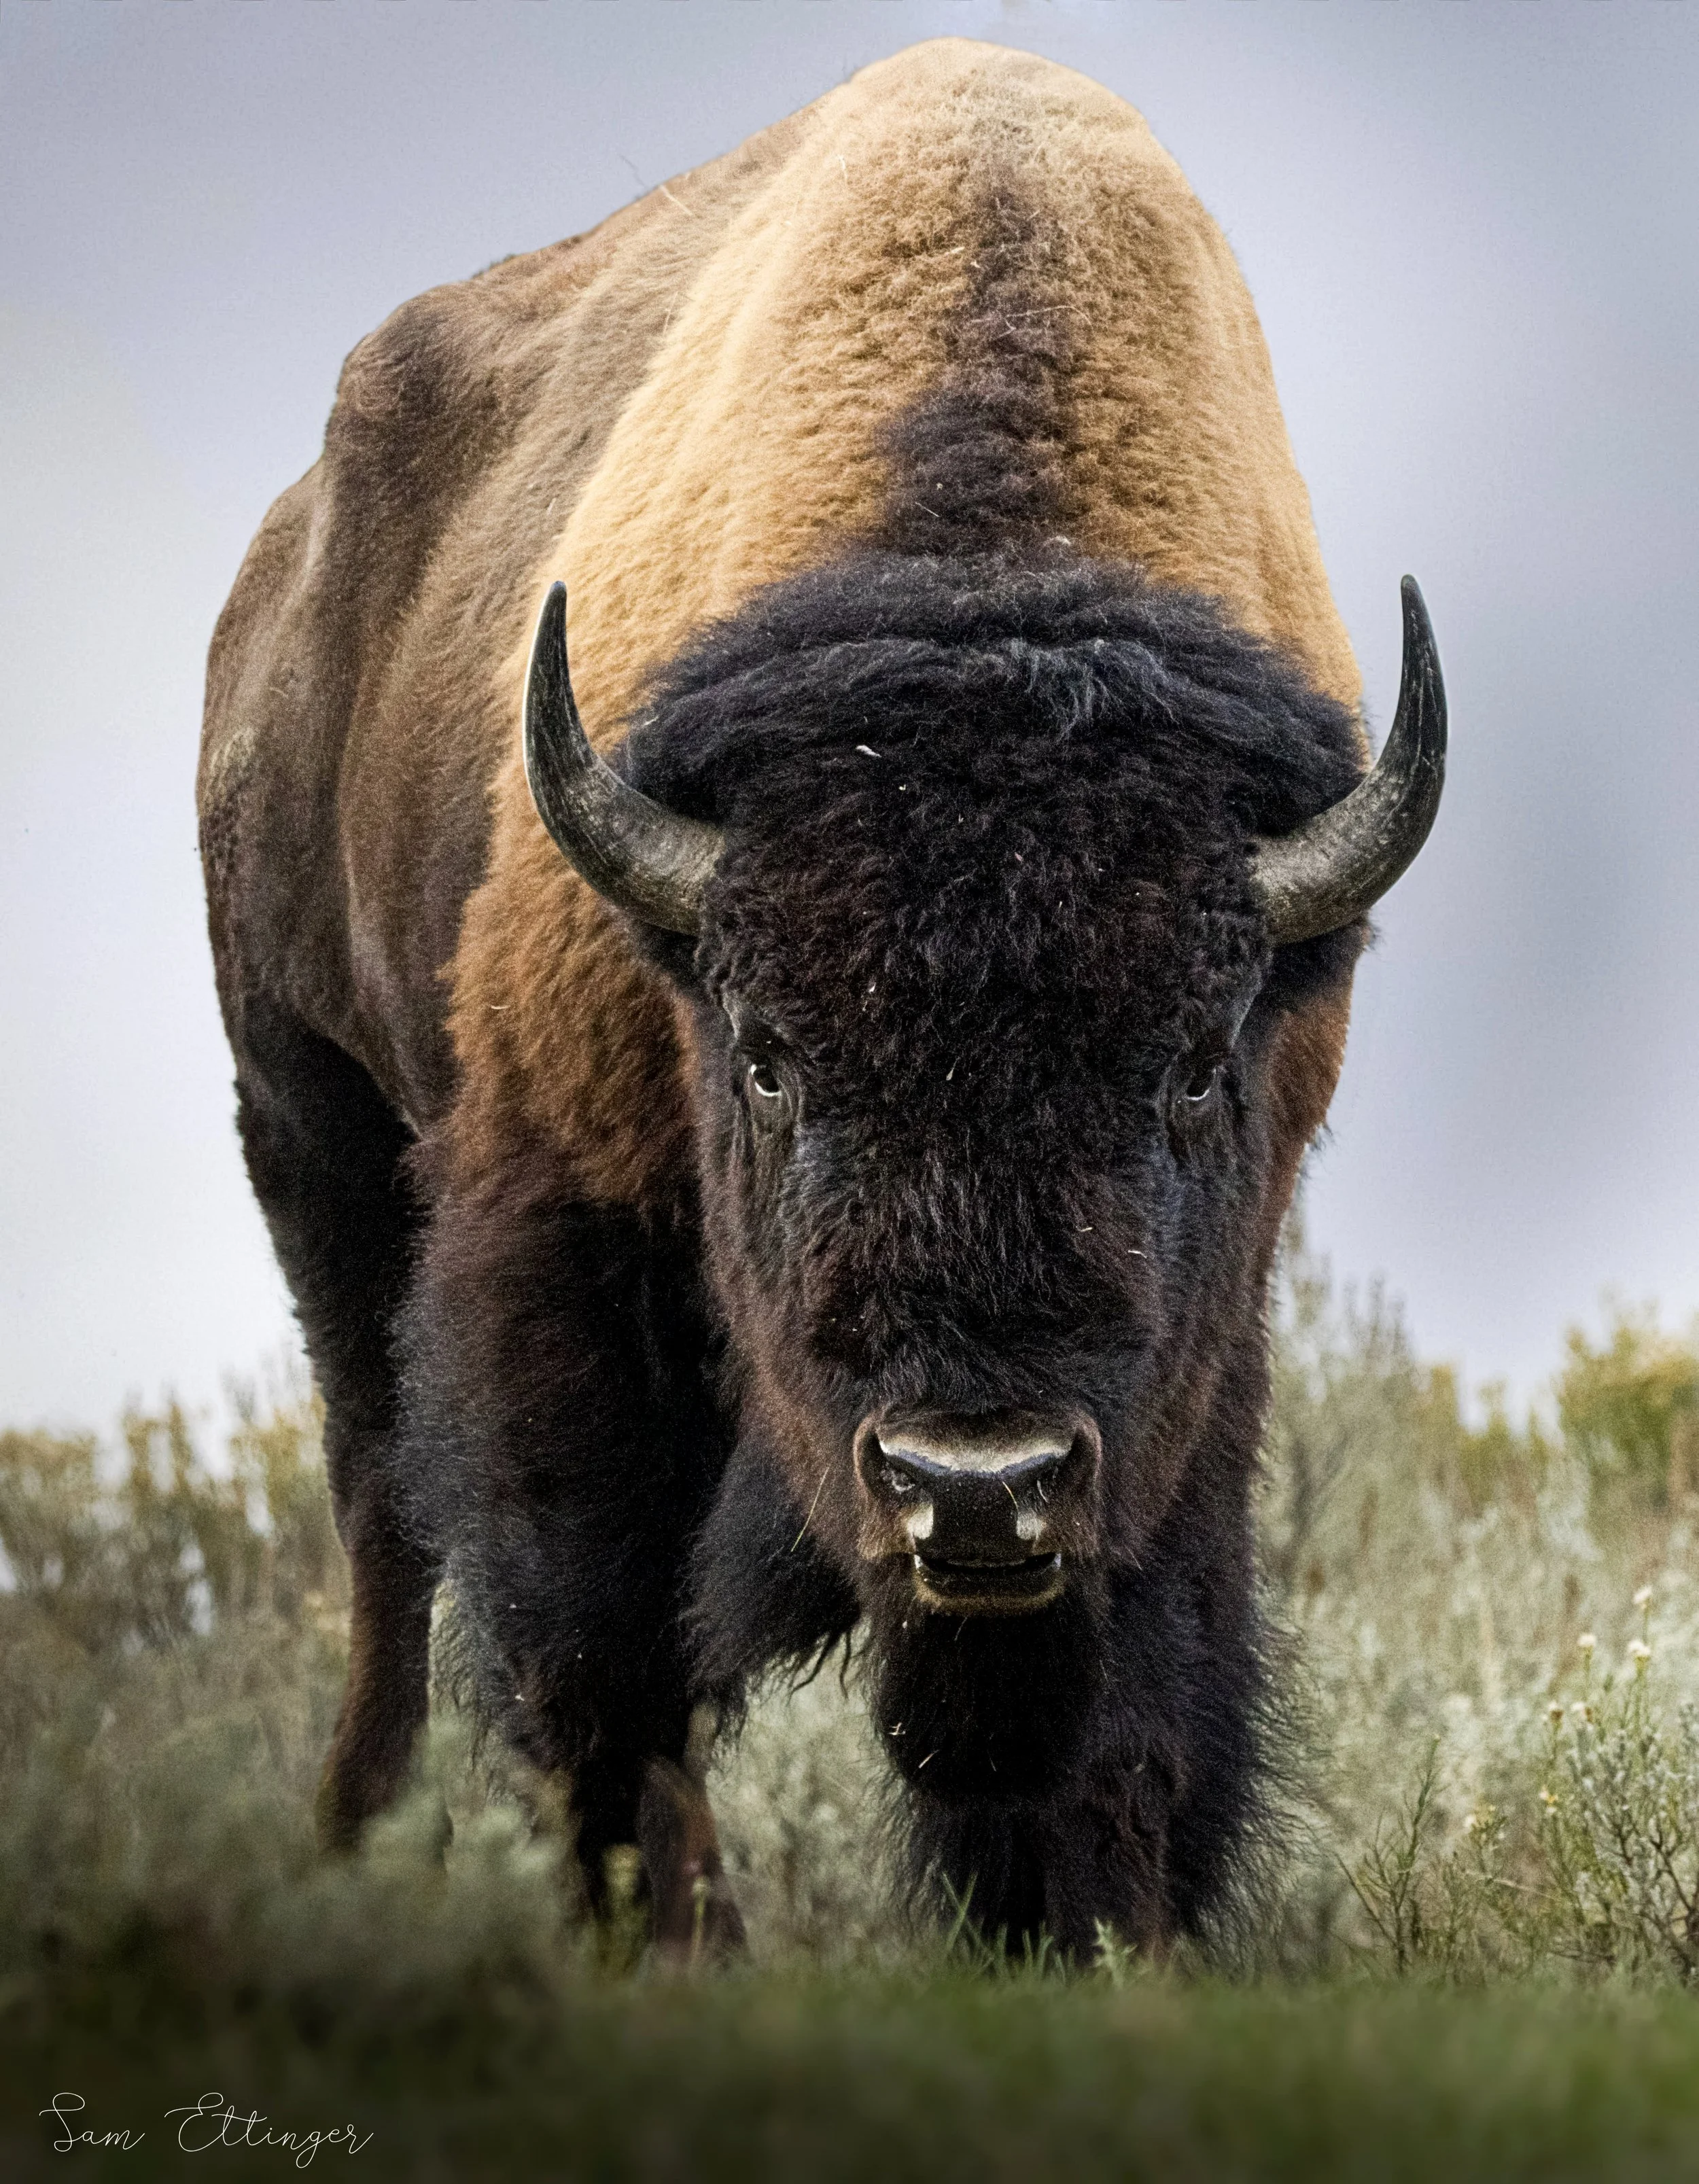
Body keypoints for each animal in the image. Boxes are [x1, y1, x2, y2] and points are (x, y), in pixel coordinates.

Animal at [198, 39, 1445, 1959]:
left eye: (1185, 1068)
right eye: (772, 1063)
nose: (974, 1483)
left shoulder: (1193, 1345)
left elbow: (1134, 1684)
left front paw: (1098, 1945)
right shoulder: (557, 1218)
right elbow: (597, 1643)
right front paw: (663, 1940)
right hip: (308, 1121)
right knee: (382, 1517)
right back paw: (366, 1838)